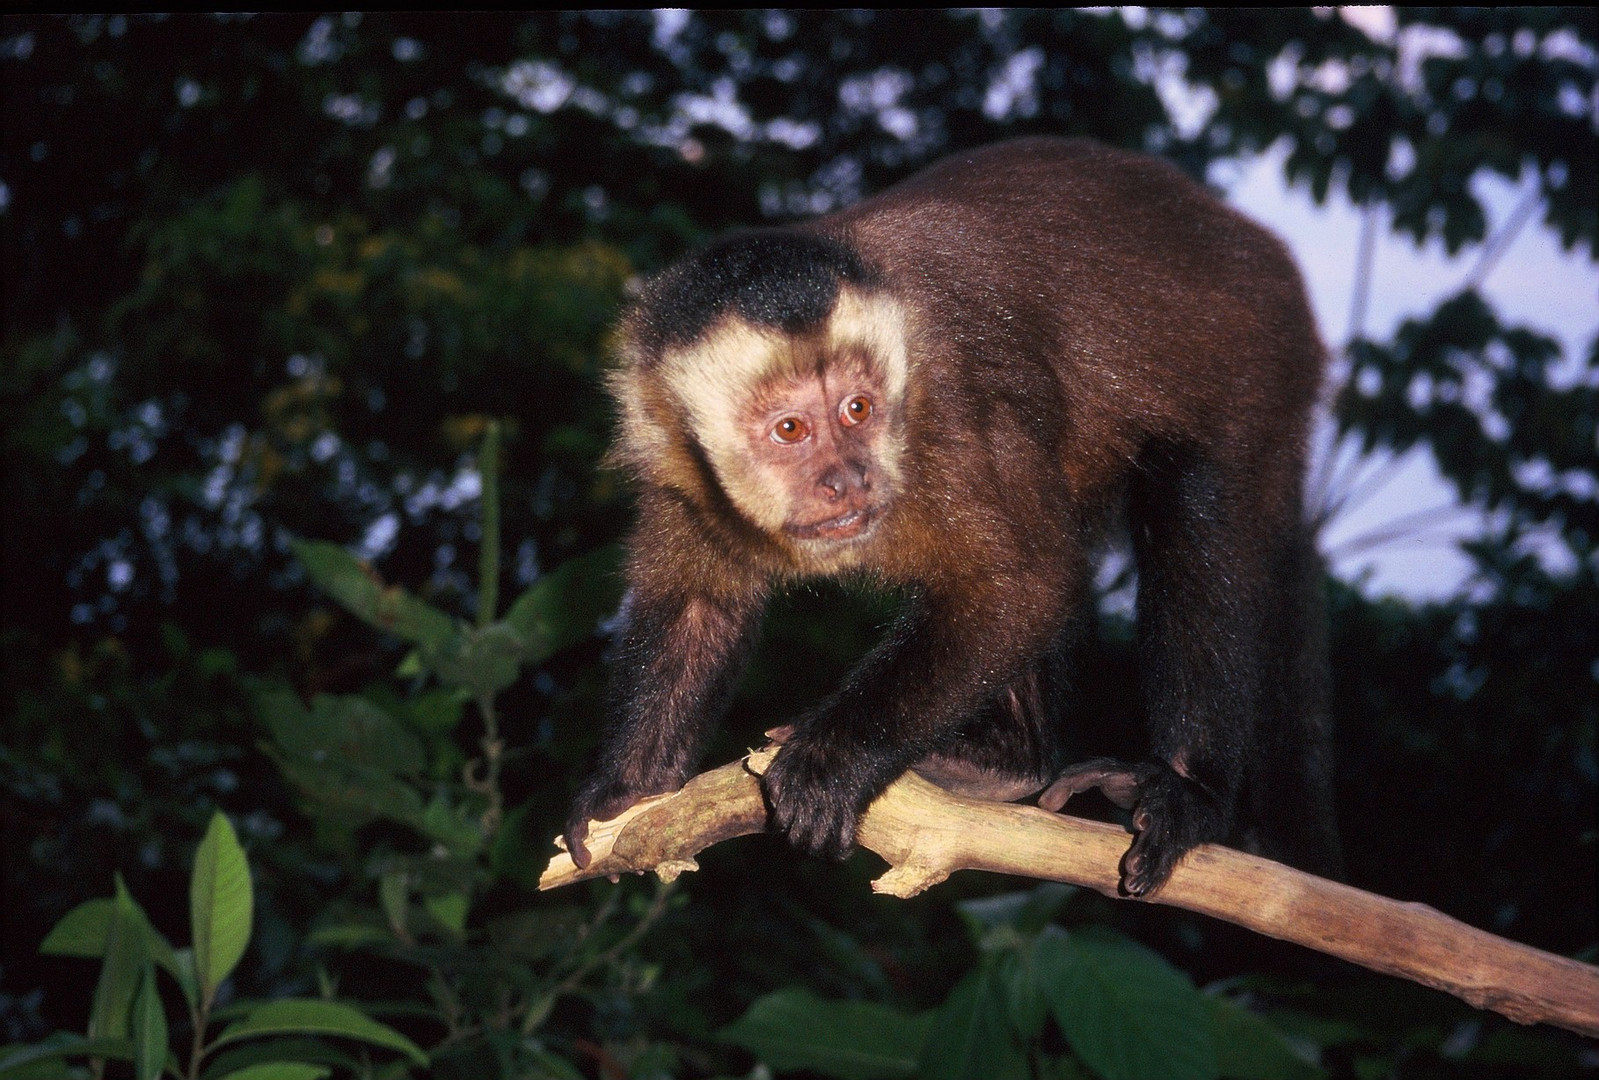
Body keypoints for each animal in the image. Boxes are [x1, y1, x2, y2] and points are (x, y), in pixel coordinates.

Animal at [562, 137, 1336, 896]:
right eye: (790, 429)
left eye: (858, 409)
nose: (848, 480)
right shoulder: (671, 452)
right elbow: (696, 605)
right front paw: (627, 788)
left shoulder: (951, 411)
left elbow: (1020, 587)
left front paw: (829, 764)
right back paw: (1010, 765)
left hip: (1257, 365)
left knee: (1192, 498)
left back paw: (1187, 789)